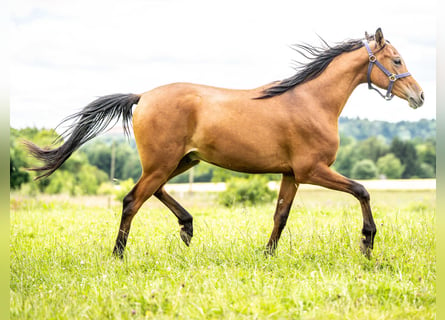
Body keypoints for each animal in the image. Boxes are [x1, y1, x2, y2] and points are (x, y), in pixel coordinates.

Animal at [25, 27, 424, 258]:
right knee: (132, 200)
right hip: (164, 162)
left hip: (181, 161)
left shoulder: (291, 174)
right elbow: (362, 190)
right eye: (396, 60)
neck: (311, 100)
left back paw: (187, 227)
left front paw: (267, 256)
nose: (419, 96)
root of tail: (142, 97)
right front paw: (367, 242)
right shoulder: (312, 170)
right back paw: (119, 255)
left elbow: (281, 214)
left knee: (150, 191)